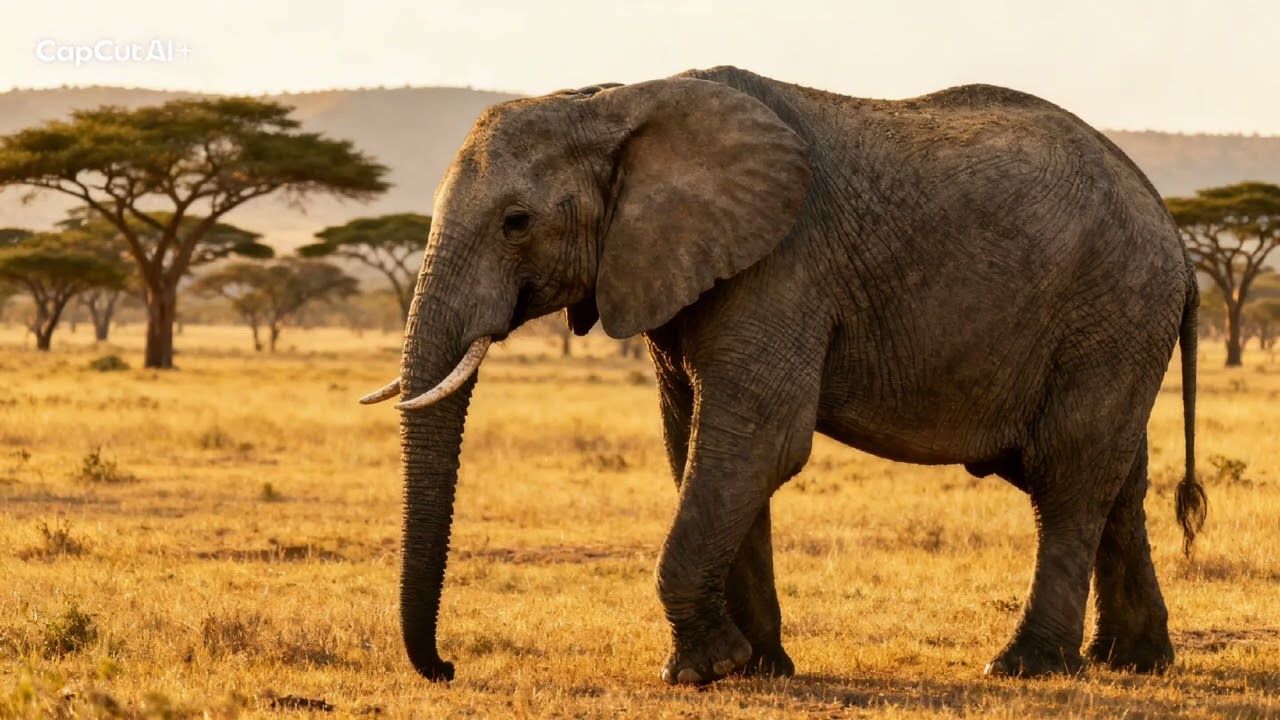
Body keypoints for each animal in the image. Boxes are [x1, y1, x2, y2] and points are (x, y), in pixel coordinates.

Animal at [360, 65, 1207, 684]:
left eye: (517, 223)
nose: (446, 668)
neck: (615, 100)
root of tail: (1172, 228)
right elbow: (697, 444)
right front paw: (758, 669)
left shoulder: (784, 265)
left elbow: (756, 441)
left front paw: (702, 672)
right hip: (1117, 326)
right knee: (1116, 480)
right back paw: (1133, 662)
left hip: (1112, 307)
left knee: (1067, 475)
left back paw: (1028, 668)